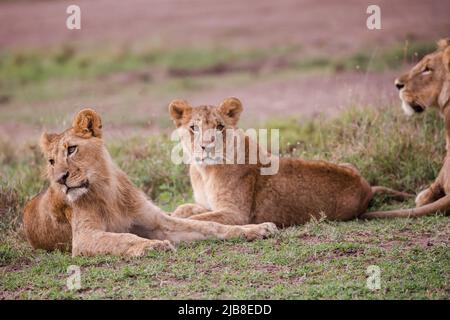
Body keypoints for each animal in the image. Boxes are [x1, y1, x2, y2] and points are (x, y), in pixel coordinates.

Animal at [22, 108, 280, 258]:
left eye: (72, 149)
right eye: (51, 161)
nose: (60, 179)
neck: (106, 190)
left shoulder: (158, 222)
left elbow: (209, 226)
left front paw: (257, 229)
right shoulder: (84, 238)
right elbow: (123, 238)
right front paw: (152, 246)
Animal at [168, 96, 412, 226]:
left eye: (220, 127)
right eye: (194, 127)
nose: (207, 145)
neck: (203, 171)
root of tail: (366, 187)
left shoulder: (235, 214)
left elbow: (197, 219)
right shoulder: (207, 204)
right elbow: (185, 208)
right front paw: (175, 213)